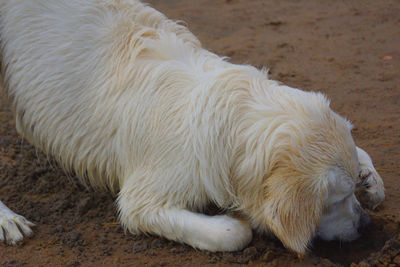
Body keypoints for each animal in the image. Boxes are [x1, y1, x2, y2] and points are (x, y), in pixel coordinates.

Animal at [0, 0, 384, 255]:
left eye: (348, 192)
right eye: (334, 200)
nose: (365, 225)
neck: (231, 119)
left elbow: (359, 149)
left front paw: (370, 178)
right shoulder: (140, 200)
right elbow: (233, 234)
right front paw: (237, 222)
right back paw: (9, 221)